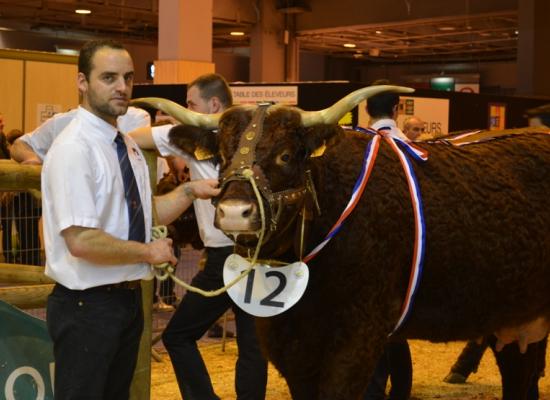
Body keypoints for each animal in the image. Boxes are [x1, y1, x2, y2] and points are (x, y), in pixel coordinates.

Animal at [134, 86, 550, 398]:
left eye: (286, 155)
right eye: (221, 156)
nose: (235, 212)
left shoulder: (358, 335)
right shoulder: (288, 344)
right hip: (515, 317)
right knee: (520, 373)